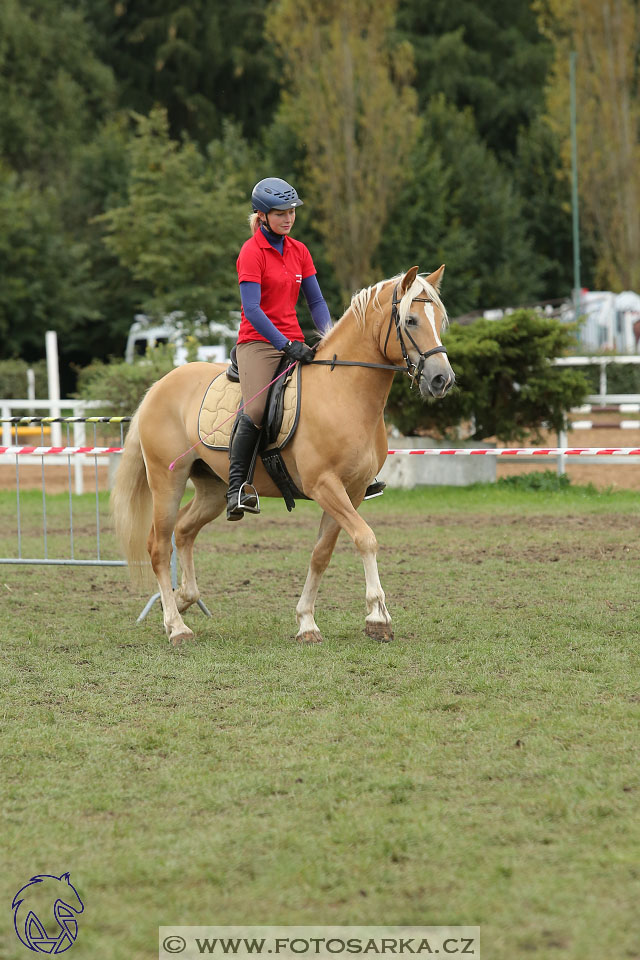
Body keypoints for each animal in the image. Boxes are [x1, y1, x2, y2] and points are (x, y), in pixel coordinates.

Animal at [111, 264, 456, 644]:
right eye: (410, 320)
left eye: (439, 320)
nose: (442, 379)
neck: (343, 392)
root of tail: (159, 385)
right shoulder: (325, 486)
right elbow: (366, 538)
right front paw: (378, 616)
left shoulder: (351, 492)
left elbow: (322, 554)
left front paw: (307, 622)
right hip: (166, 481)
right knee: (159, 546)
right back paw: (176, 626)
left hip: (213, 489)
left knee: (185, 530)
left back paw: (183, 598)